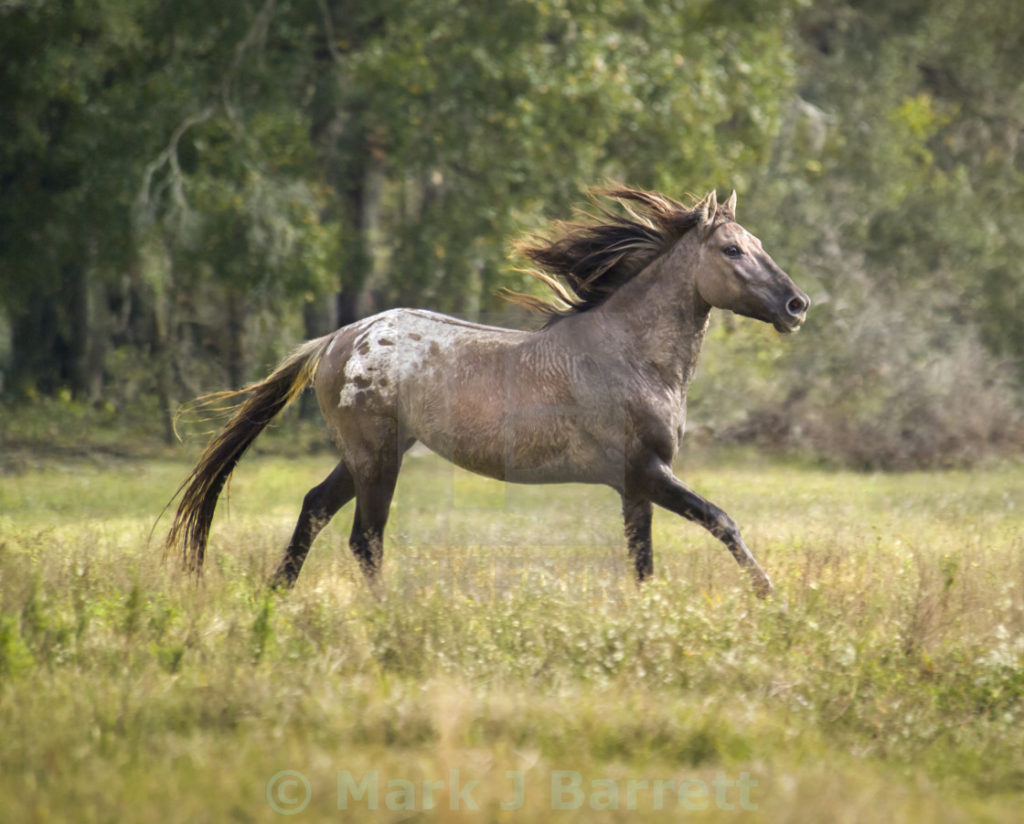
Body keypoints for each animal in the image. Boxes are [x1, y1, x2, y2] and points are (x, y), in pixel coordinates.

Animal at [166, 187, 808, 598]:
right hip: (377, 458)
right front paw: (768, 594)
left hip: (369, 454)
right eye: (732, 249)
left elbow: (643, 561)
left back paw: (276, 595)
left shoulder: (636, 485)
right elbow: (721, 520)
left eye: (757, 243)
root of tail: (335, 341)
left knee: (315, 509)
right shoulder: (646, 470)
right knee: (365, 540)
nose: (796, 305)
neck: (632, 355)